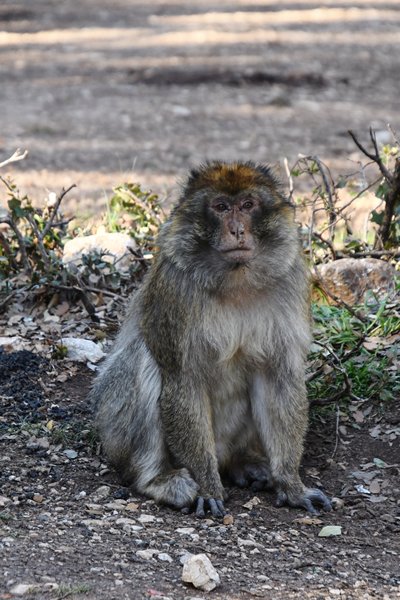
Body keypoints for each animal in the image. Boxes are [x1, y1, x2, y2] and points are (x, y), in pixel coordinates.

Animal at [91, 162, 332, 516]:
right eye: (220, 207)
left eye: (247, 205)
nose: (237, 230)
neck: (236, 279)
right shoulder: (176, 288)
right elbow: (182, 378)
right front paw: (207, 486)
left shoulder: (291, 280)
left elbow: (278, 377)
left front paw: (291, 485)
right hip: (113, 429)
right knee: (145, 362)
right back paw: (159, 479)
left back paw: (244, 463)